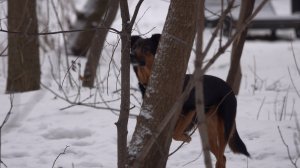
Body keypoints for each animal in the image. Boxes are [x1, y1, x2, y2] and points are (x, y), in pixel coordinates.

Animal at [130, 33, 250, 167]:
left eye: (146, 48)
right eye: (134, 47)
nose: (131, 54)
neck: (148, 79)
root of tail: (230, 89)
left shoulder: (191, 109)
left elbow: (175, 134)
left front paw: (186, 138)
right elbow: (175, 132)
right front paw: (185, 137)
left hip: (224, 126)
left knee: (221, 156)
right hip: (207, 130)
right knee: (222, 157)